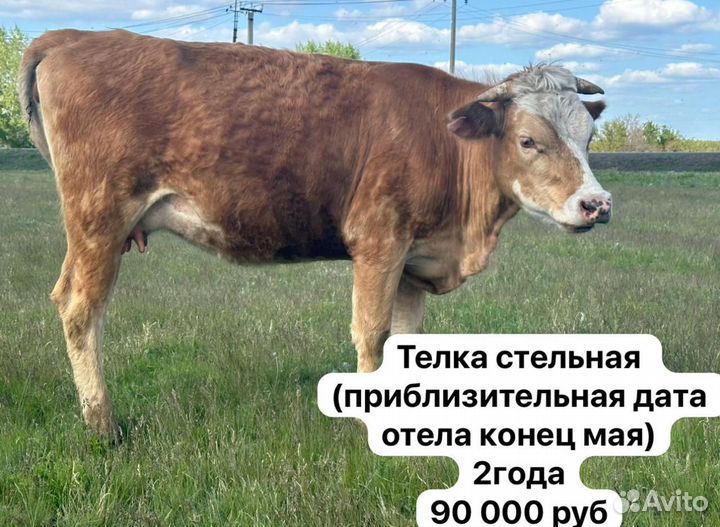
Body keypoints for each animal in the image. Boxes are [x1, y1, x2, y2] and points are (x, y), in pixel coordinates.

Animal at [18, 30, 611, 441]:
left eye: (588, 135)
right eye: (529, 140)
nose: (597, 203)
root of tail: (71, 37)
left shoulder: (415, 257)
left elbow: (407, 338)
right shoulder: (379, 240)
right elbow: (372, 333)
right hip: (100, 216)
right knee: (81, 310)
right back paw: (104, 427)